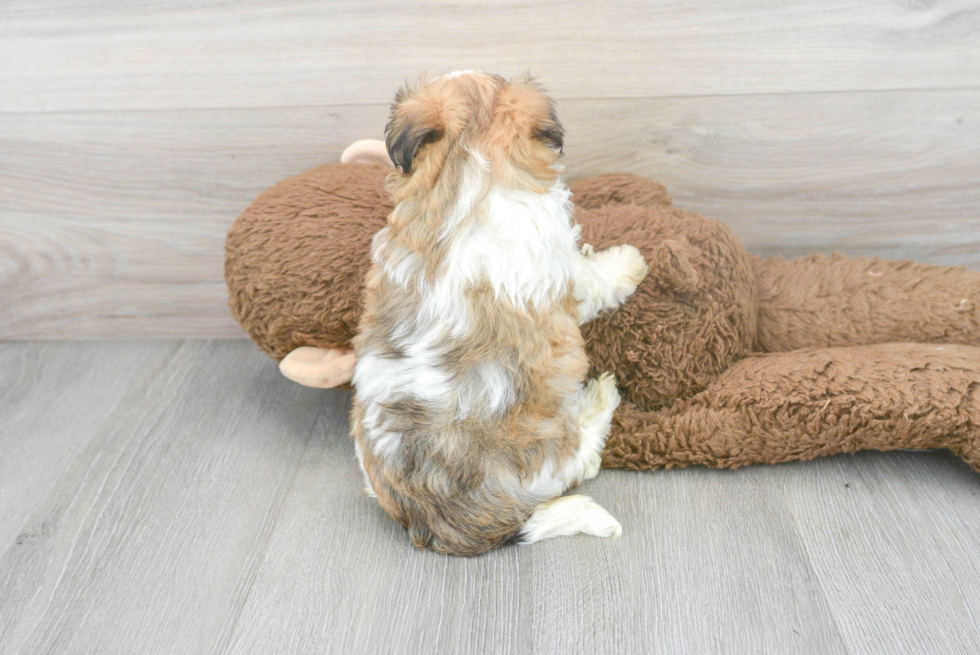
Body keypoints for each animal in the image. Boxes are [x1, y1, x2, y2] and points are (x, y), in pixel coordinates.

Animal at [348, 72, 648, 556]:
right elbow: (593, 280)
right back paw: (600, 401)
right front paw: (627, 263)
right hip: (551, 448)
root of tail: (437, 521)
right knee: (582, 459)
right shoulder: (561, 268)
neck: (469, 163)